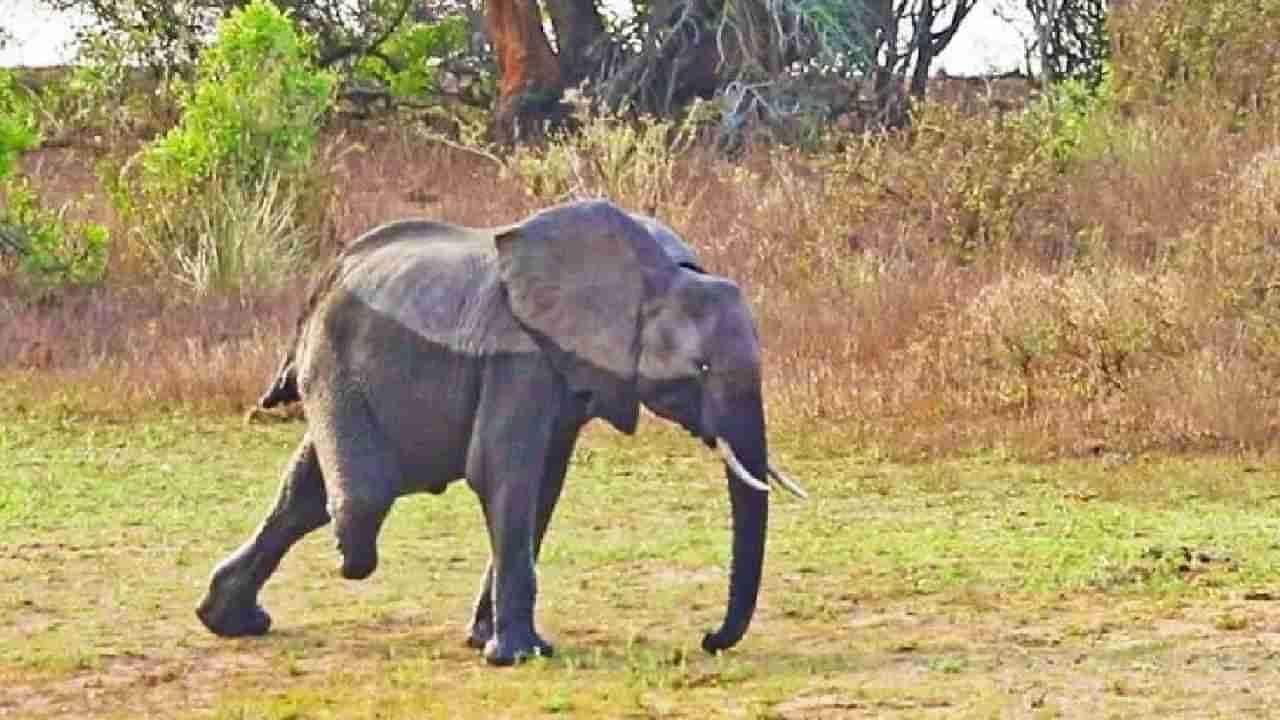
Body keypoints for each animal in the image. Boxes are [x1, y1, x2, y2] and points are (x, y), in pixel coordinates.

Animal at [194, 198, 803, 666]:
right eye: (701, 368)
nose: (707, 639)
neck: (654, 276)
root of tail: (322, 282)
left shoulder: (565, 373)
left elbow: (543, 488)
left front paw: (484, 640)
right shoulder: (519, 361)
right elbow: (504, 476)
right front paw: (519, 656)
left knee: (303, 495)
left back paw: (231, 620)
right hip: (334, 360)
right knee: (357, 497)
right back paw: (342, 560)